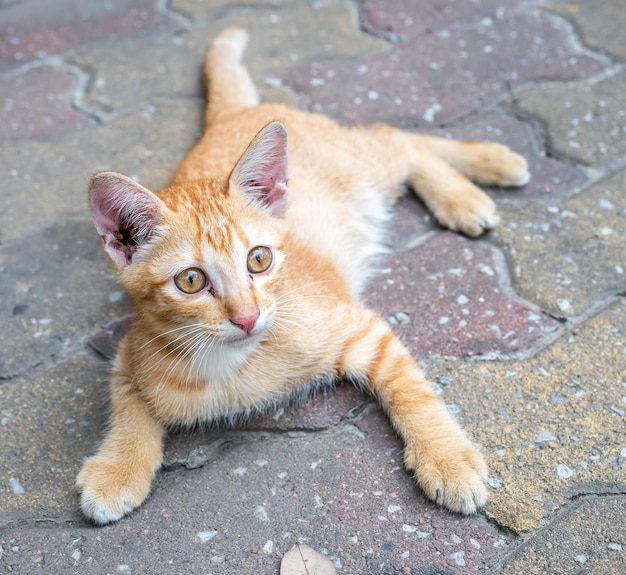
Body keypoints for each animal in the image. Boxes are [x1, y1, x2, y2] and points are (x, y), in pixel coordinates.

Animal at [75, 28, 528, 528]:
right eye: (191, 281)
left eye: (258, 260)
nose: (247, 317)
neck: (231, 365)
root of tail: (229, 117)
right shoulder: (130, 353)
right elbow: (127, 405)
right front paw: (118, 468)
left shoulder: (362, 328)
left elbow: (411, 390)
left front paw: (446, 458)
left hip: (359, 168)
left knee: (394, 138)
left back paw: (475, 179)